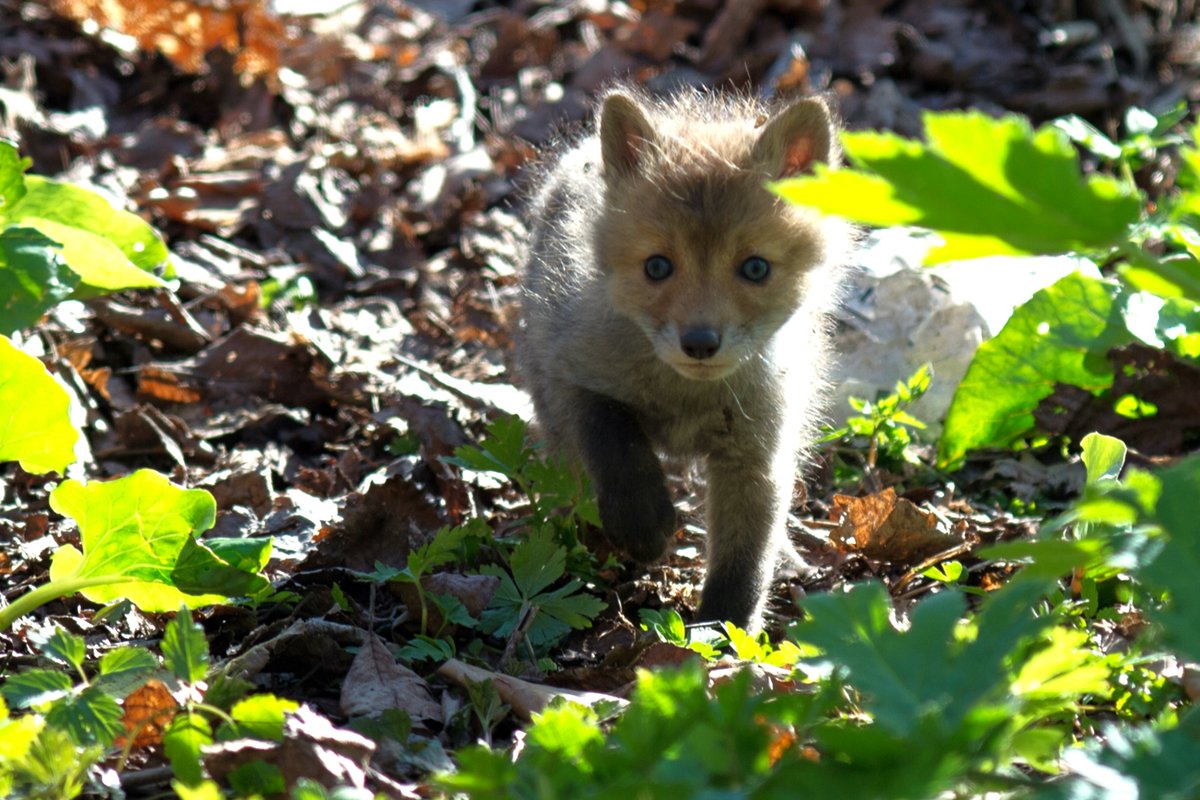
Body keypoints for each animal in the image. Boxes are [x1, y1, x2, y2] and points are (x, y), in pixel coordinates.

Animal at [518, 86, 854, 623]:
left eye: (755, 268)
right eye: (657, 266)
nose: (699, 342)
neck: (686, 400)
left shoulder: (757, 452)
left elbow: (745, 563)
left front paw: (719, 634)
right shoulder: (572, 372)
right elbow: (614, 442)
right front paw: (641, 521)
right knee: (569, 477)